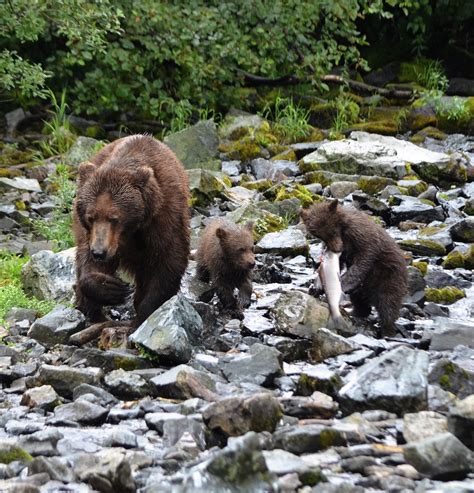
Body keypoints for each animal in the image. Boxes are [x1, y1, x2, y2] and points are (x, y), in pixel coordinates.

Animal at [72, 135, 189, 330]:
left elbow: (169, 262)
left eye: (114, 218)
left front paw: (143, 315)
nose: (99, 252)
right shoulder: (92, 235)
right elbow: (86, 263)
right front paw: (111, 288)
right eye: (91, 217)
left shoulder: (164, 217)